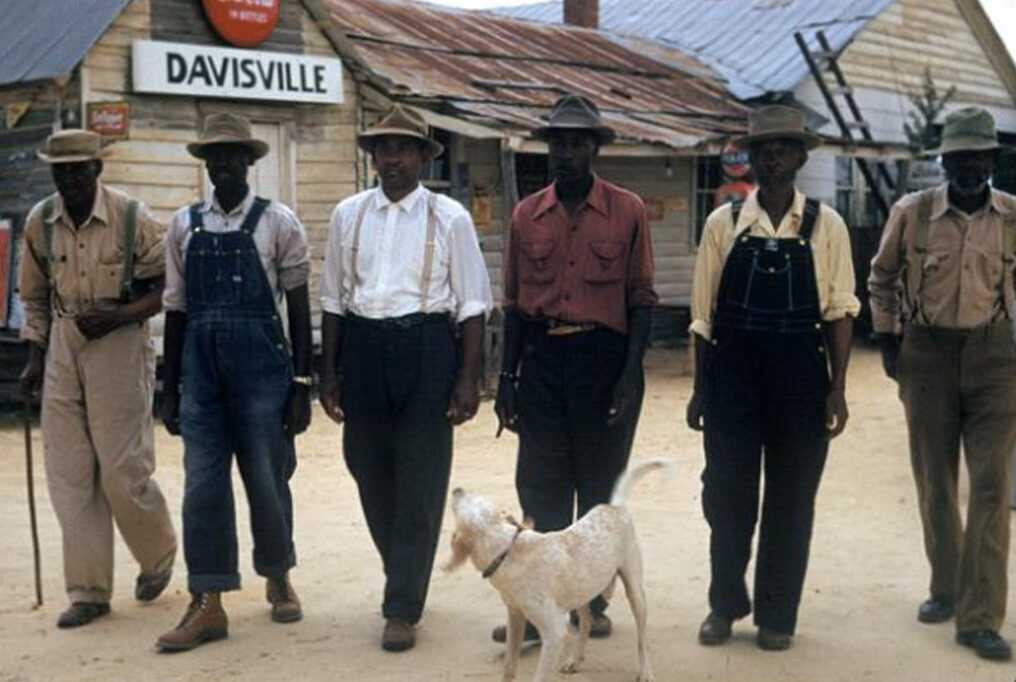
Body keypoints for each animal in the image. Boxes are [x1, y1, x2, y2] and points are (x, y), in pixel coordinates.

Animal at [442, 459, 666, 682]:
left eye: (469, 501)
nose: (457, 489)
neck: (507, 552)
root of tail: (614, 507)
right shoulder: (515, 616)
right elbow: (509, 667)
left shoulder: (554, 633)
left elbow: (539, 676)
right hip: (582, 592)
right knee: (586, 623)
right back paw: (575, 660)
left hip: (635, 591)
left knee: (641, 640)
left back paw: (645, 671)